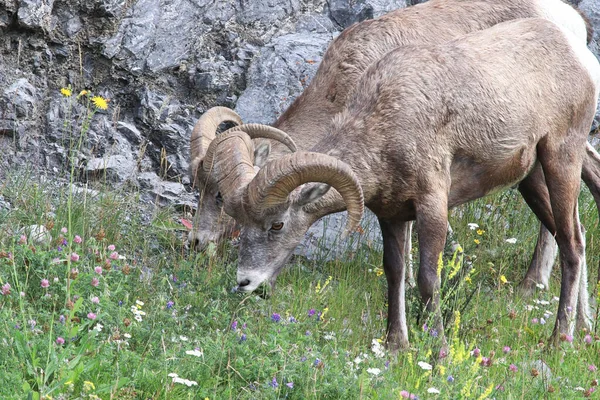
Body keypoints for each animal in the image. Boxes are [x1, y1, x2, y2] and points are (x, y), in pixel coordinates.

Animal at [211, 19, 600, 350]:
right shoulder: (392, 216)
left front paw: (438, 350)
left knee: (572, 244)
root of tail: (576, 50)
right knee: (573, 235)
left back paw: (558, 340)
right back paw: (583, 329)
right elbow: (395, 273)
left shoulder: (432, 207)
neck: (385, 123)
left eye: (277, 224)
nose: (245, 282)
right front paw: (396, 345)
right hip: (530, 179)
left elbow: (428, 279)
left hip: (561, 158)